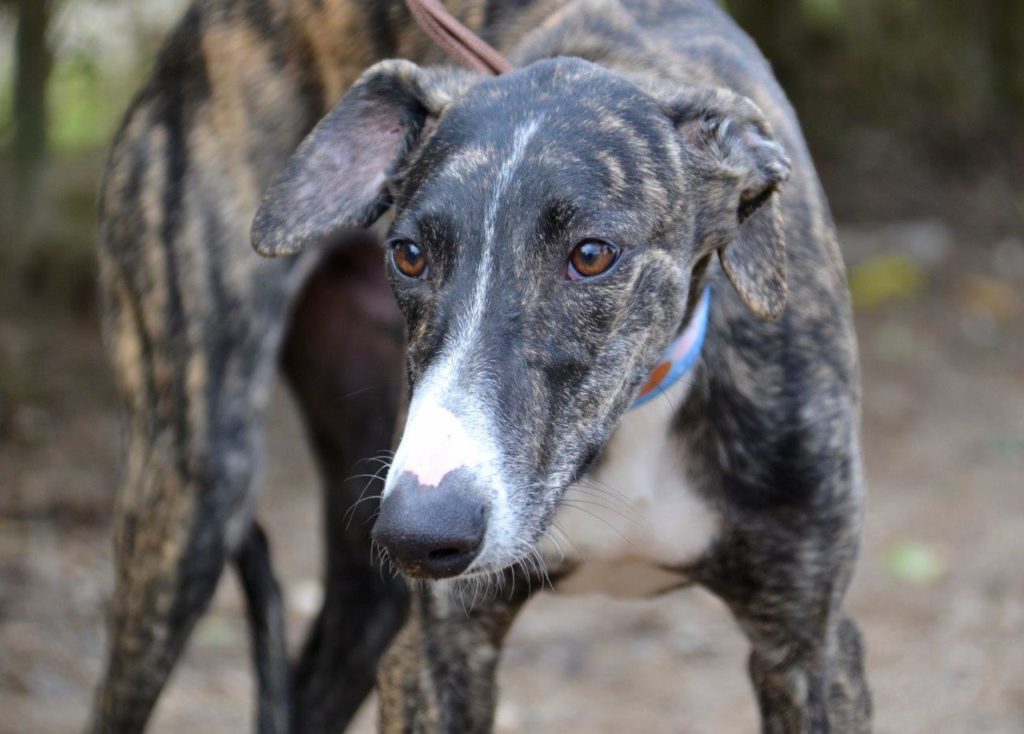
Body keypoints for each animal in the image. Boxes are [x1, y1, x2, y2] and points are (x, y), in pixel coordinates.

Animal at [92, 1, 868, 732]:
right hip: (195, 495)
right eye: (408, 253)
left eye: (592, 254)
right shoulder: (438, 652)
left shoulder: (814, 648)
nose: (419, 533)